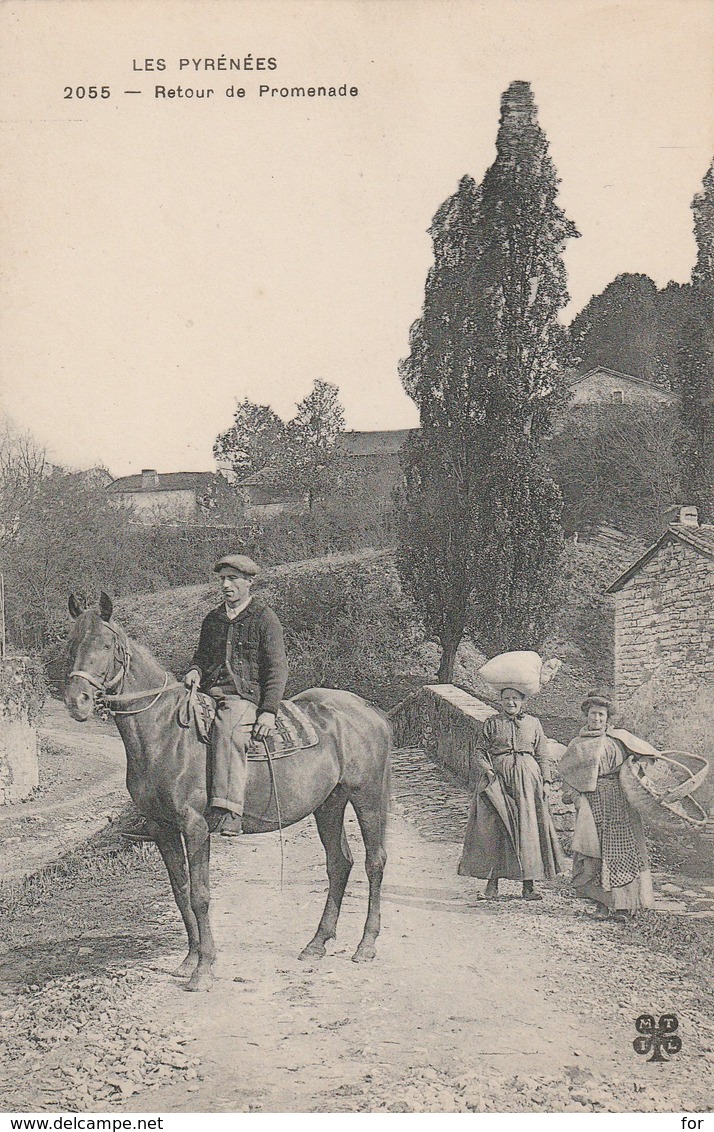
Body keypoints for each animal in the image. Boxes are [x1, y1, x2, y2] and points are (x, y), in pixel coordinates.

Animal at [62, 593, 391, 991]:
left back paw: (367, 945)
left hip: (367, 797)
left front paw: (204, 969)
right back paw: (316, 943)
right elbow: (181, 891)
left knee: (374, 862)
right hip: (329, 803)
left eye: (106, 646)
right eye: (72, 644)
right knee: (339, 863)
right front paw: (189, 960)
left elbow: (201, 895)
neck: (164, 734)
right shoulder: (161, 828)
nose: (76, 701)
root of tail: (368, 709)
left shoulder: (195, 826)